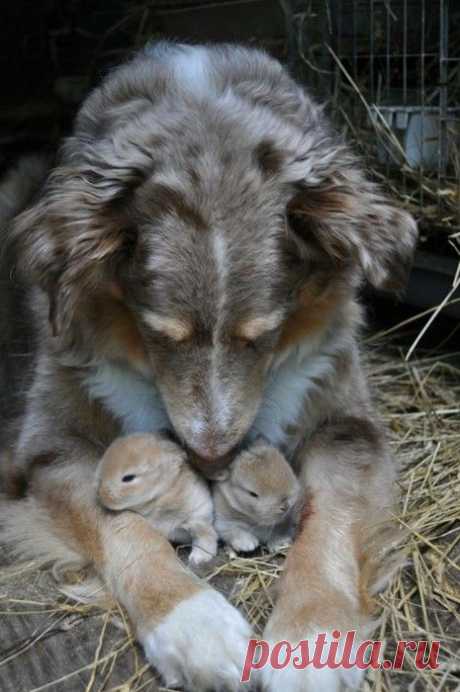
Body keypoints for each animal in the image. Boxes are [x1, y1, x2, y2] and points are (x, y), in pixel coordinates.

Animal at [96, 436, 217, 564]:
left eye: (128, 478)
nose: (101, 495)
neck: (160, 495)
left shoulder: (198, 518)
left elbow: (205, 538)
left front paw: (198, 558)